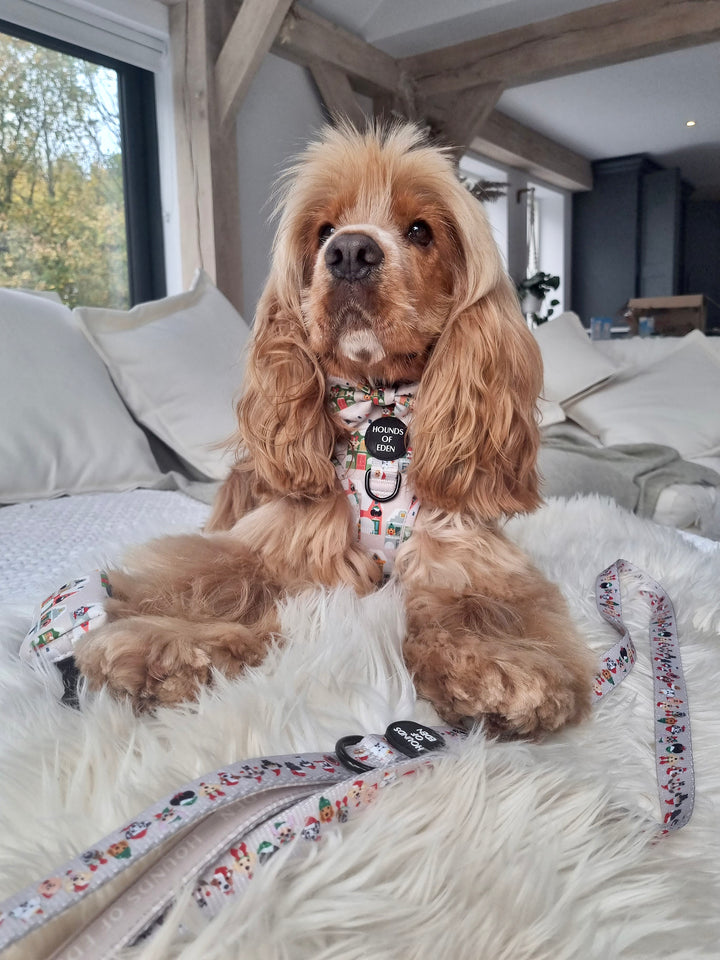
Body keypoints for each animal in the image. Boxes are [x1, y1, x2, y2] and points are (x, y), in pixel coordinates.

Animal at [76, 124, 596, 740]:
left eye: (421, 230)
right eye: (323, 230)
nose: (349, 251)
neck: (381, 409)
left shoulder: (465, 550)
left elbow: (485, 607)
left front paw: (501, 668)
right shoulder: (277, 539)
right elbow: (218, 584)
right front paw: (164, 645)